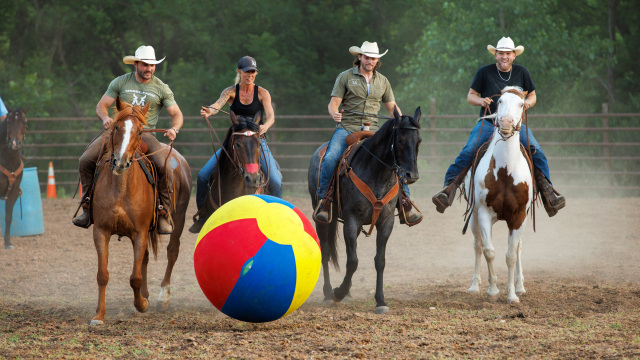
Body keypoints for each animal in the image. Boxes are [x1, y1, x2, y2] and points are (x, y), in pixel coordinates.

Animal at [89, 97, 191, 324]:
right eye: (116, 127)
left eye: (140, 131)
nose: (120, 161)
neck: (121, 189)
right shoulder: (101, 231)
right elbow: (102, 274)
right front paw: (99, 315)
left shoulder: (140, 231)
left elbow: (134, 277)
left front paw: (141, 304)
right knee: (144, 258)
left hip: (178, 219)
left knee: (172, 252)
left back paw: (163, 298)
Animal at [308, 107, 422, 316]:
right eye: (400, 140)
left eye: (419, 140)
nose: (412, 176)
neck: (377, 173)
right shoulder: (352, 220)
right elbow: (353, 261)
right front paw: (338, 293)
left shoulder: (386, 222)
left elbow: (379, 261)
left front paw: (380, 301)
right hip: (322, 218)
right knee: (326, 252)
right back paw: (328, 293)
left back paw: (348, 293)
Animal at [462, 87, 532, 304]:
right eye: (499, 101)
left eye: (521, 104)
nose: (506, 123)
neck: (505, 173)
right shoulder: (484, 213)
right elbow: (489, 251)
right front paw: (492, 291)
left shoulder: (519, 217)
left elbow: (511, 255)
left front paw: (511, 295)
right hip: (474, 217)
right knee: (477, 245)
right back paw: (474, 286)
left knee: (518, 247)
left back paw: (520, 286)